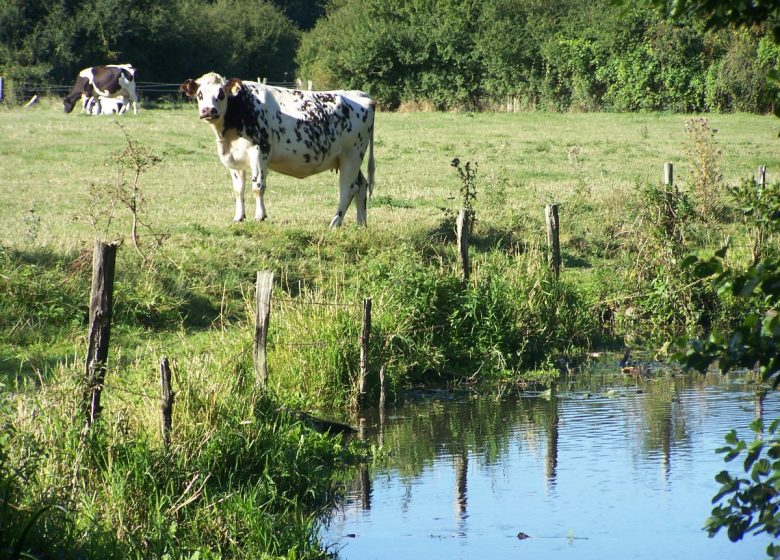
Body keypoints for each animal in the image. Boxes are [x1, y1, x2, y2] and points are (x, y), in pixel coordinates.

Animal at [183, 72, 378, 225]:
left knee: (348, 188)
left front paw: (260, 216)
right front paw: (238, 217)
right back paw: (361, 224)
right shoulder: (234, 160)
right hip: (346, 158)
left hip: (352, 155)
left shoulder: (260, 151)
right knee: (361, 186)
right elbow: (238, 189)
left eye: (221, 94)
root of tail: (361, 95)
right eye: (200, 94)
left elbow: (258, 186)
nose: (208, 110)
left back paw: (335, 222)